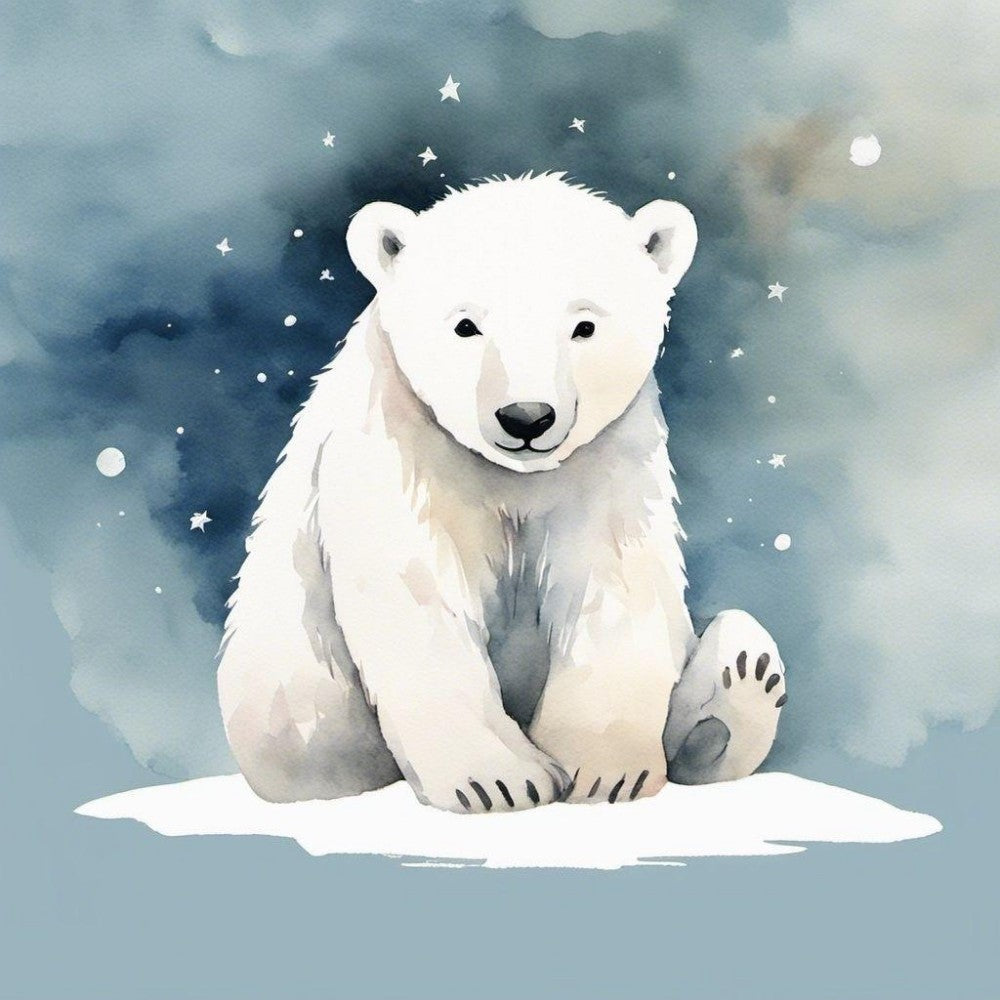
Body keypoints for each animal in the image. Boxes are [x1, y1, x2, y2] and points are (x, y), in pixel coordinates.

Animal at [217, 172, 786, 813]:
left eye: (584, 326)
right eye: (466, 325)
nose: (526, 417)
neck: (514, 475)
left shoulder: (608, 461)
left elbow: (612, 584)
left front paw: (604, 773)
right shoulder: (403, 449)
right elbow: (419, 593)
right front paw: (497, 781)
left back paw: (737, 689)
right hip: (289, 685)